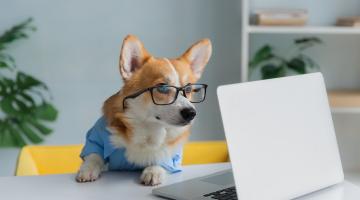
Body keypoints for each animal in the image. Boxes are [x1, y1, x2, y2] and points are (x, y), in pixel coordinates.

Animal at [75, 34, 211, 186]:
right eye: (162, 87)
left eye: (188, 89)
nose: (191, 113)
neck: (148, 128)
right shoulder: (95, 139)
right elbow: (94, 155)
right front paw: (87, 169)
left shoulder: (173, 156)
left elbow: (163, 158)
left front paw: (153, 171)